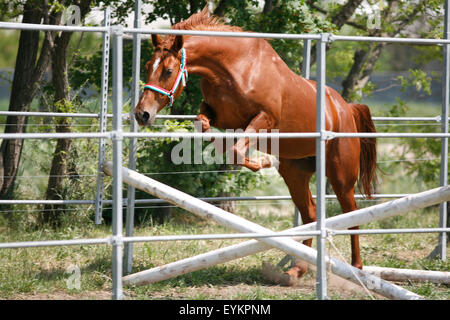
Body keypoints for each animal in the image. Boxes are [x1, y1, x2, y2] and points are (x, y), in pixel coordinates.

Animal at [134, 8, 376, 282]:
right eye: (147, 66)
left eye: (167, 70)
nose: (142, 114)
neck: (234, 68)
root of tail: (345, 108)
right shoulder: (218, 116)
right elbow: (206, 128)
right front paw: (257, 159)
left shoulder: (264, 119)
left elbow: (236, 151)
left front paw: (263, 162)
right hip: (296, 173)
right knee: (310, 213)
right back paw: (298, 269)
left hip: (340, 174)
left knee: (351, 213)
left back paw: (357, 268)